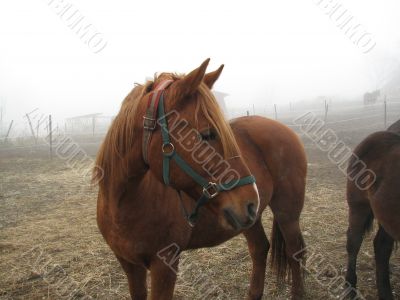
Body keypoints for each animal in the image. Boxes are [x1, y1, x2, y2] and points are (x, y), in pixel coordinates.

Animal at [94, 59, 306, 300]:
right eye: (206, 134)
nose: (251, 199)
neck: (123, 204)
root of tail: (284, 128)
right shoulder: (130, 265)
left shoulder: (164, 265)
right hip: (249, 220)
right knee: (260, 249)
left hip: (286, 212)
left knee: (295, 252)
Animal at [344, 118, 400, 298]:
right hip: (359, 206)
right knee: (354, 241)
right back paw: (350, 287)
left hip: (386, 215)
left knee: (382, 247)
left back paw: (385, 293)